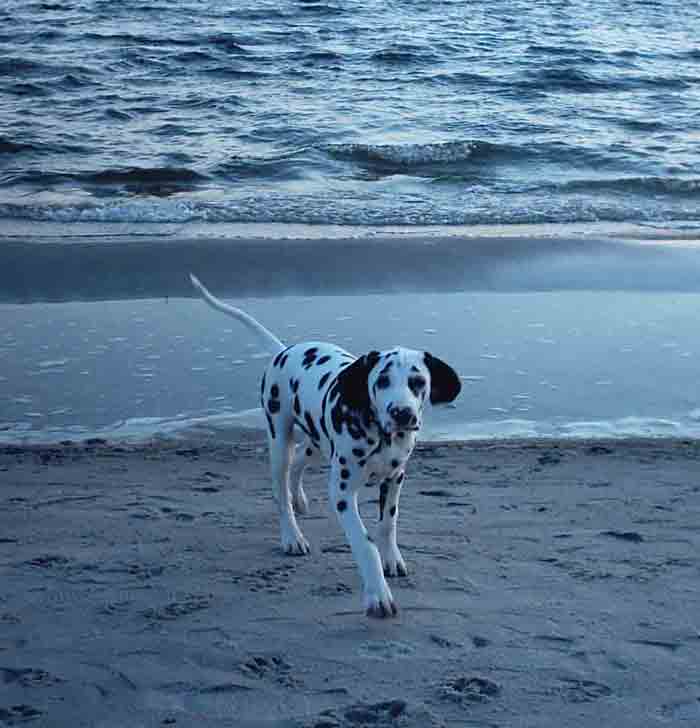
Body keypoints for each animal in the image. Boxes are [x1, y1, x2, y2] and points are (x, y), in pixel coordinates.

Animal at [190, 274, 461, 617]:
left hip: (317, 444)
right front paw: (377, 594)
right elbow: (365, 543)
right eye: (382, 381)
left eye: (418, 382)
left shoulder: (395, 479)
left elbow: (388, 523)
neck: (381, 436)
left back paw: (299, 499)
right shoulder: (342, 493)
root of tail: (284, 351)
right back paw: (292, 535)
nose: (402, 414)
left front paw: (392, 559)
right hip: (279, 440)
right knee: (281, 492)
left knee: (298, 464)